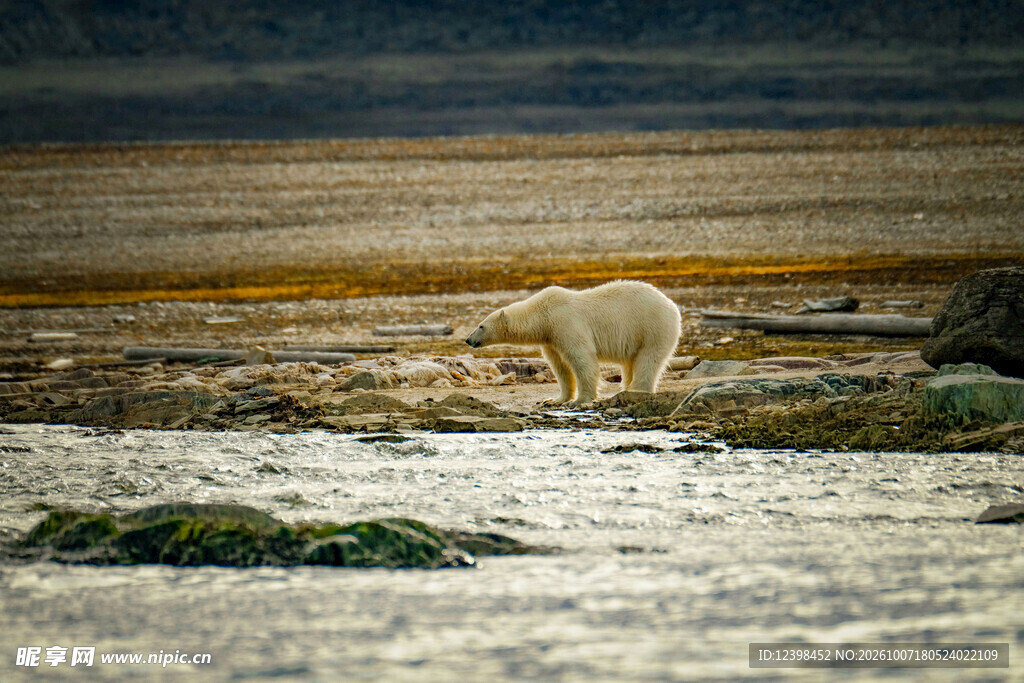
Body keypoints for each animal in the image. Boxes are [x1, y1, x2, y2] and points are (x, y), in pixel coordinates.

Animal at [465, 280, 681, 407]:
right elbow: (560, 366)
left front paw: (579, 401)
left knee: (648, 359)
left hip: (652, 327)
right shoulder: (550, 338)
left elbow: (582, 359)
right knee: (631, 363)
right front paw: (554, 400)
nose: (468, 339)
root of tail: (672, 305)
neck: (542, 314)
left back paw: (636, 390)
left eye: (481, 325)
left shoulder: (566, 323)